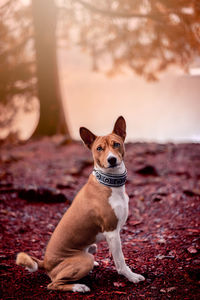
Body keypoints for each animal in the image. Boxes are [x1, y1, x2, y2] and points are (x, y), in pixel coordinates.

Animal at [15, 116, 144, 292]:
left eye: (116, 144)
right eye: (99, 148)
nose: (111, 159)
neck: (110, 184)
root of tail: (45, 263)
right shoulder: (112, 232)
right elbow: (120, 260)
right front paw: (131, 276)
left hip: (91, 248)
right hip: (83, 260)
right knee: (53, 284)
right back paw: (78, 287)